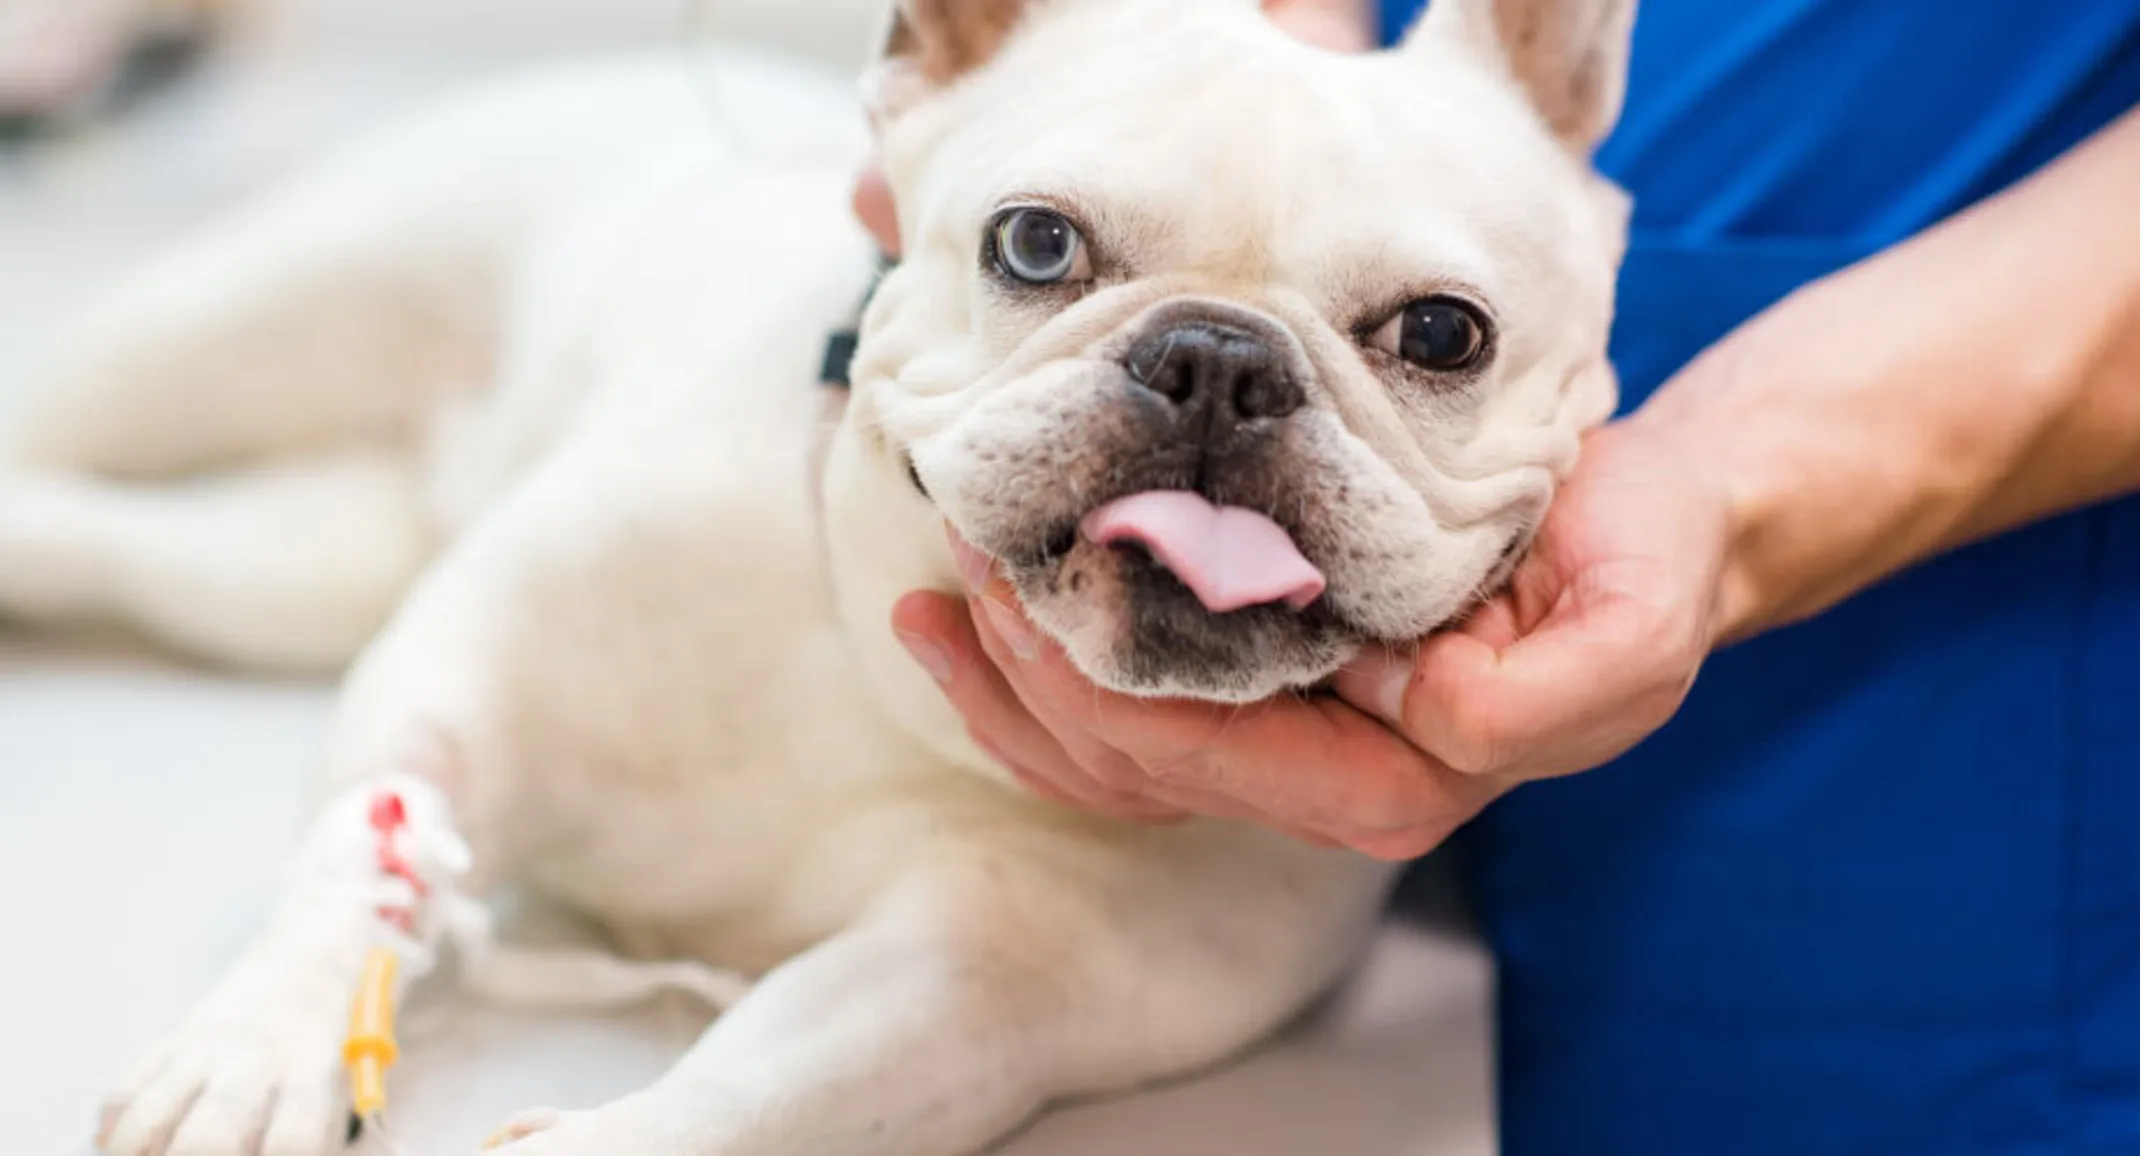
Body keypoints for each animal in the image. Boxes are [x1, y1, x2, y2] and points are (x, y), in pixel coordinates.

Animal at [4, 0, 1634, 1147]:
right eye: (1035, 243)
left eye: (1442, 334)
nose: (1219, 360)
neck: (879, 657)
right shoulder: (472, 677)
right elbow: (368, 851)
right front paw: (251, 1049)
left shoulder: (972, 982)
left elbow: (766, 1086)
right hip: (240, 328)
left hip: (279, 570)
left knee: (125, 545)